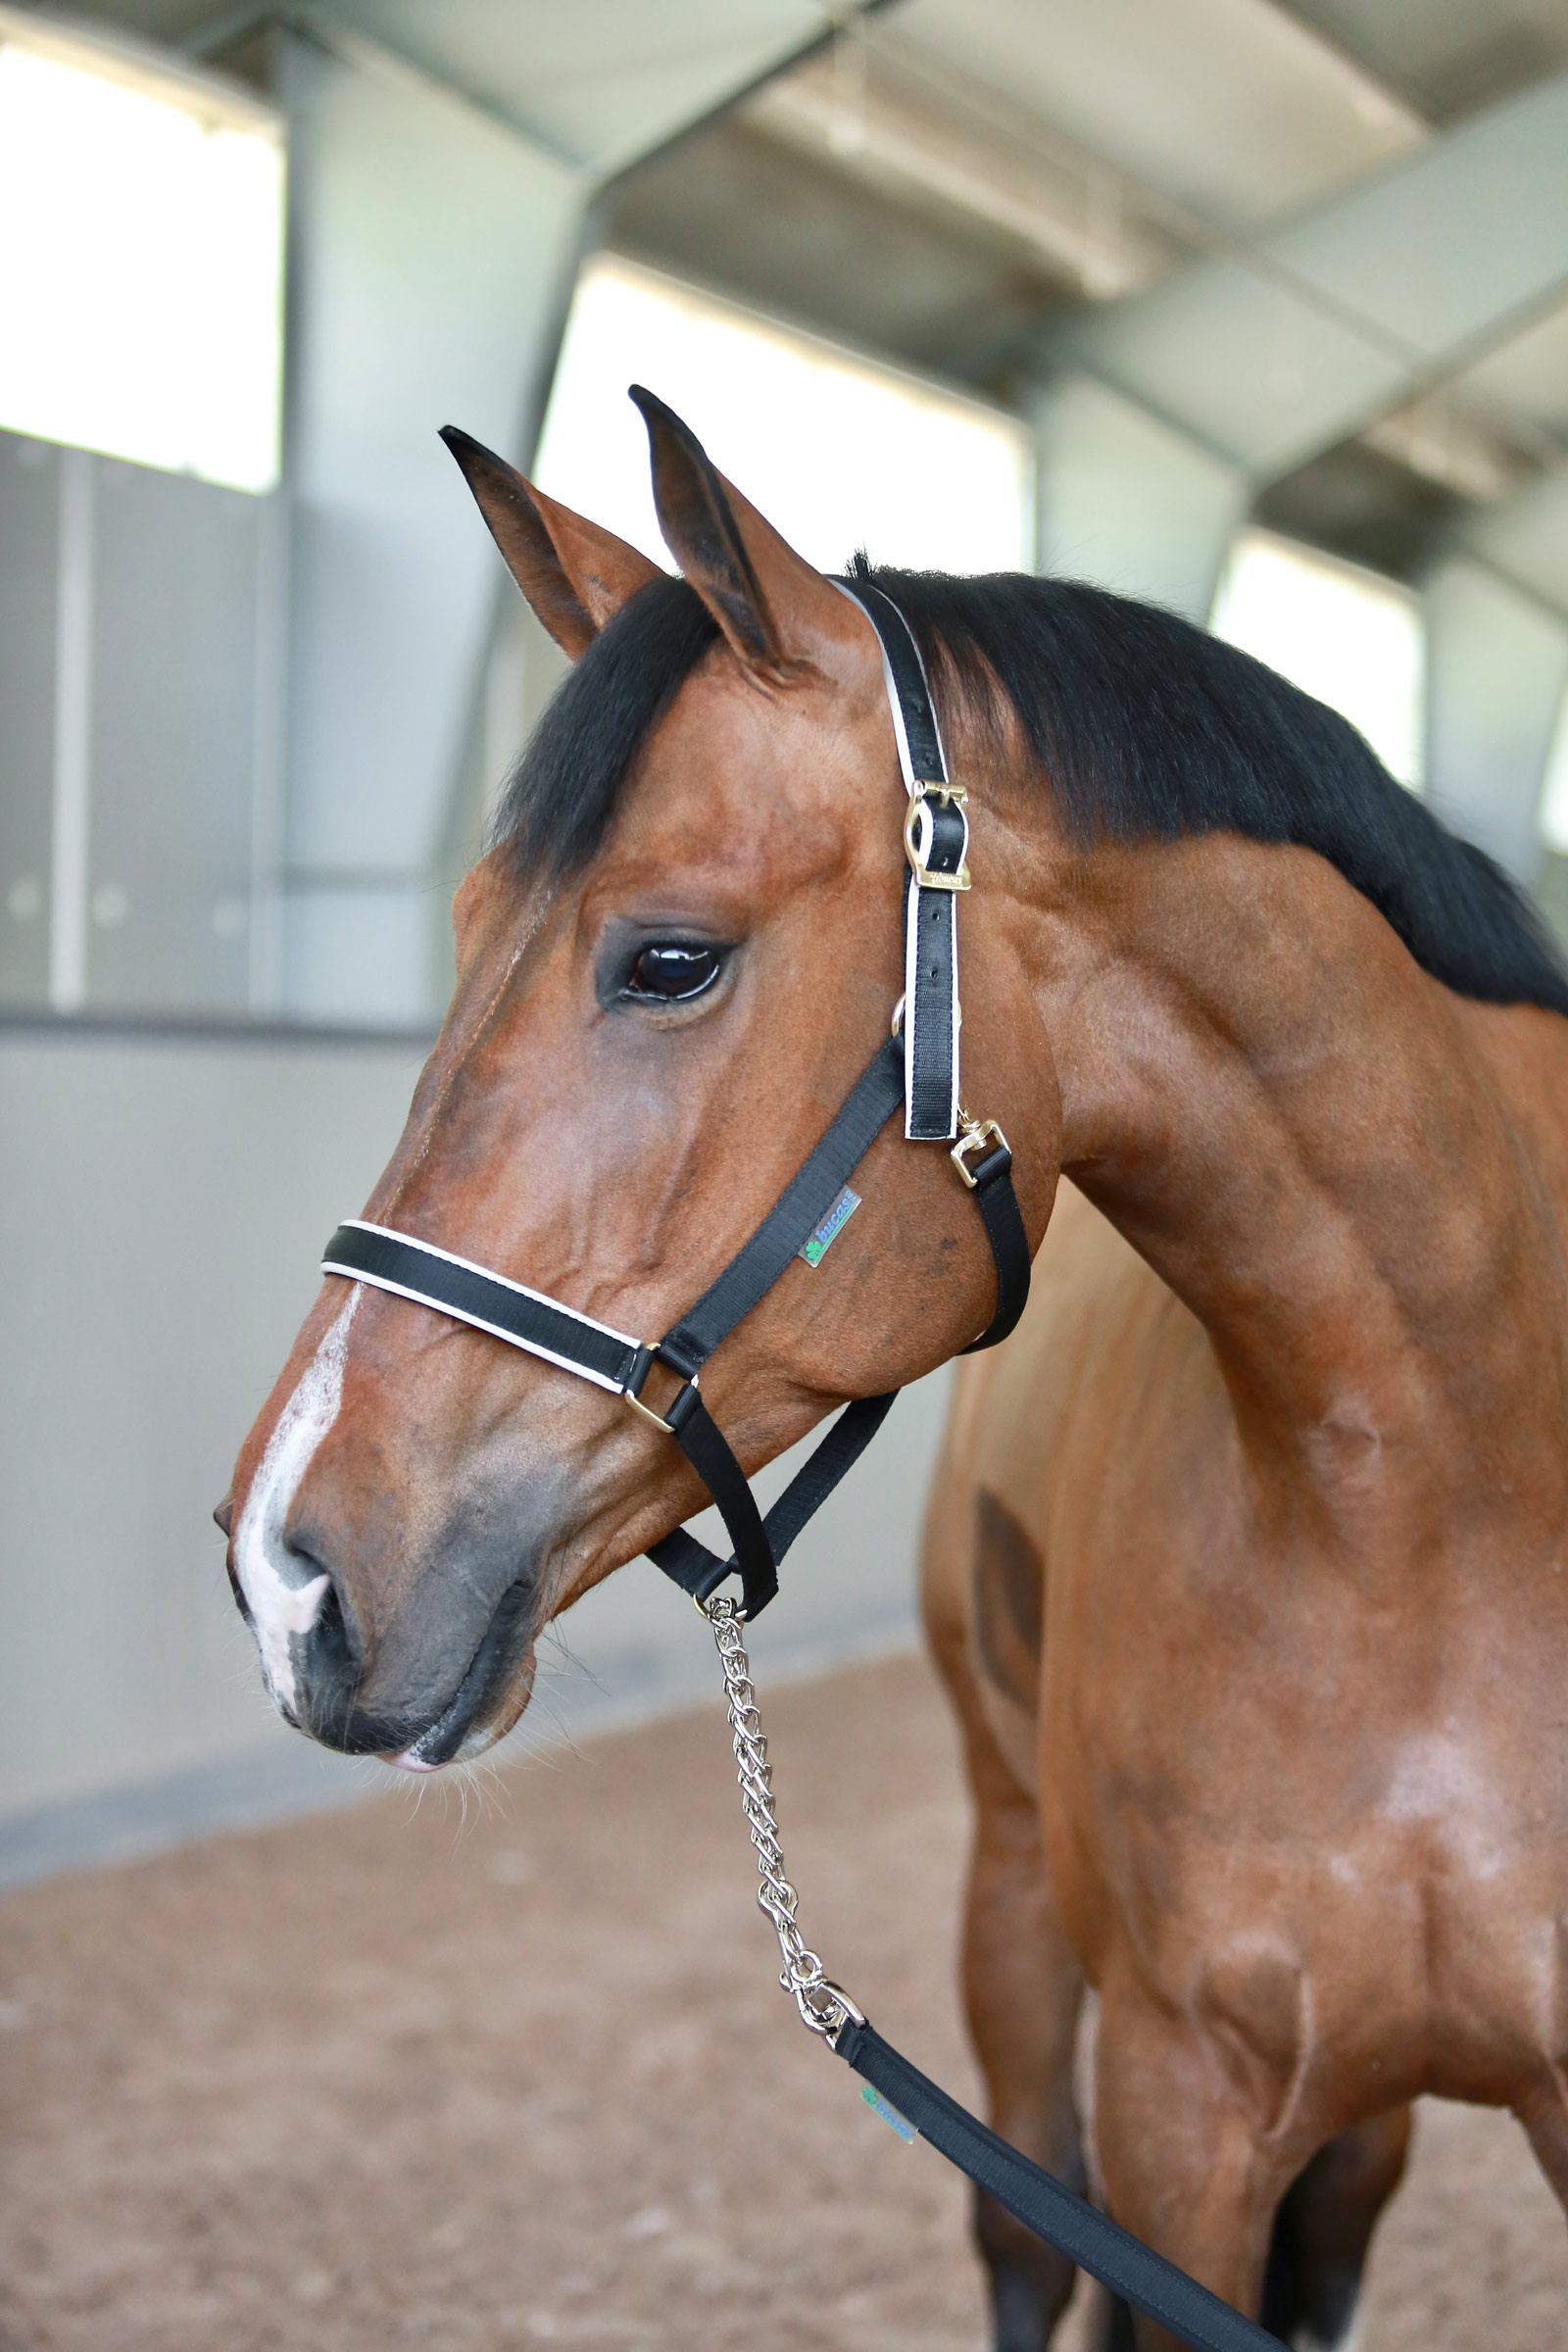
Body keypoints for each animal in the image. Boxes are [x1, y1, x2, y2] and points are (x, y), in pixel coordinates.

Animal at [217, 389, 1568, 2352]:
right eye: (460, 926)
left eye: (671, 958)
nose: (285, 1573)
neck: (1455, 1504)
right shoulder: (1180, 2108)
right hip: (1011, 1896)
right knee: (1023, 2229)